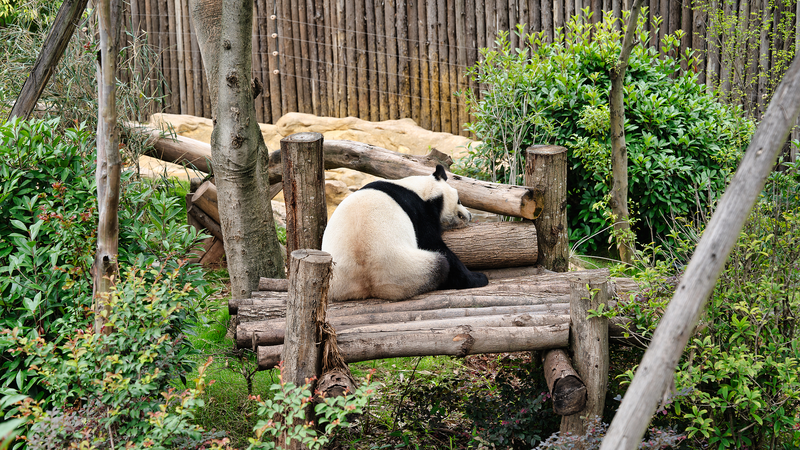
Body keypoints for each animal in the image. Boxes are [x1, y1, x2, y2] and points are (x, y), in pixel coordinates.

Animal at [321, 164, 489, 301]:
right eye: (459, 200)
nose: (469, 215)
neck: (418, 189)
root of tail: (366, 283)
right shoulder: (418, 211)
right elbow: (432, 242)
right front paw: (477, 278)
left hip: (336, 281)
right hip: (406, 269)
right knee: (441, 264)